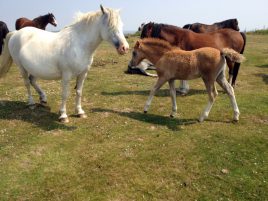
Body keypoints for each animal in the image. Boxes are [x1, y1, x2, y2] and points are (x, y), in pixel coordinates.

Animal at [0, 5, 129, 122]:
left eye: (122, 25)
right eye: (110, 26)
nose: (125, 48)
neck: (79, 44)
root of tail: (16, 33)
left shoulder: (83, 74)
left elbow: (79, 92)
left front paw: (80, 112)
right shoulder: (66, 75)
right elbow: (65, 94)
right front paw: (63, 115)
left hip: (34, 68)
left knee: (32, 81)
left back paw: (43, 98)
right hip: (21, 67)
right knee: (27, 83)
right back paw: (31, 103)